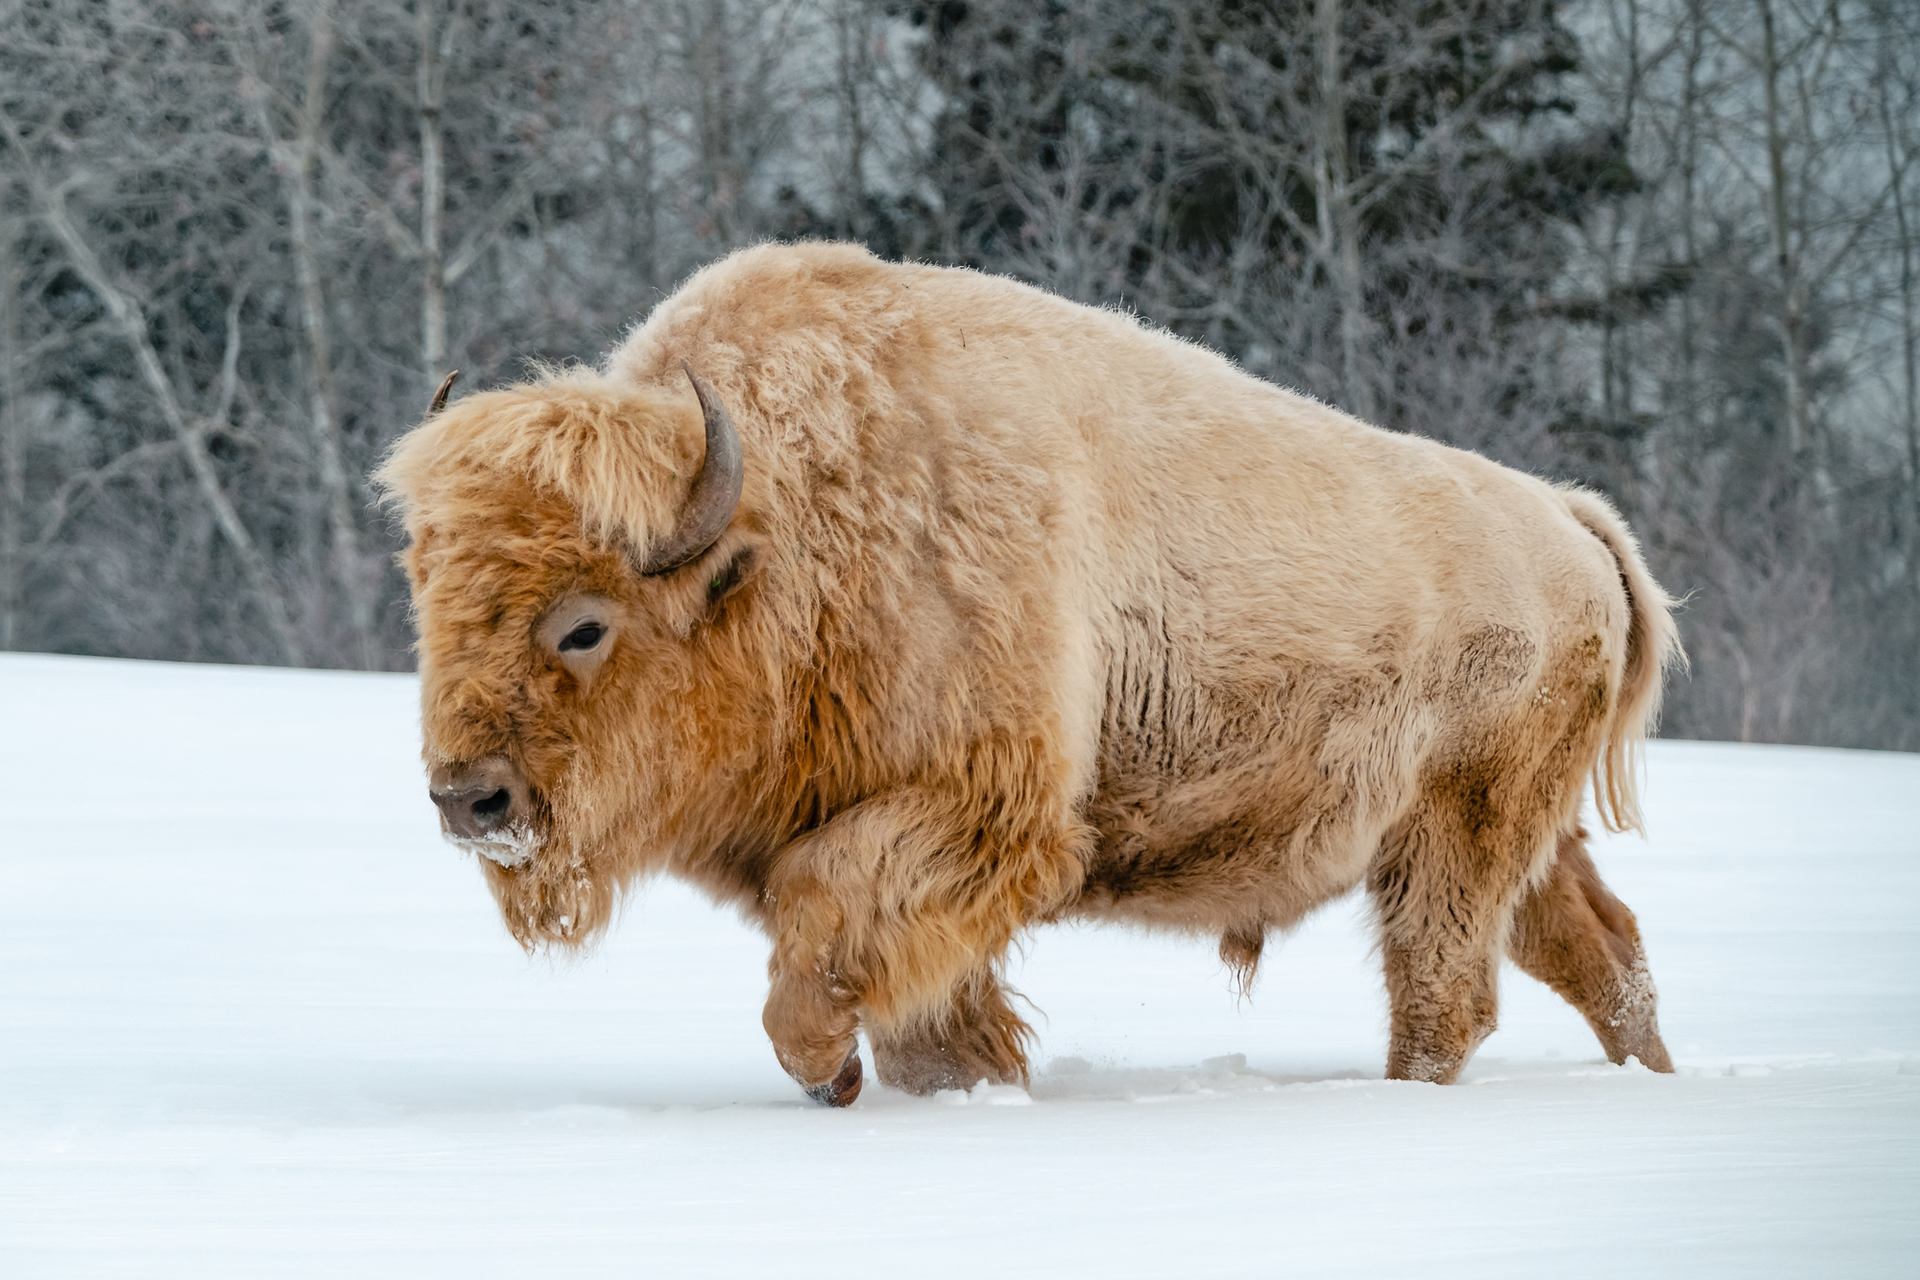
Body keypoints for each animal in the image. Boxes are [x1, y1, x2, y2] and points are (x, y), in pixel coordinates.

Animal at [374, 245, 1681, 1105]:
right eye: (426, 598)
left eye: (584, 626)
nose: (470, 798)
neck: (790, 533)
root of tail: (1568, 523)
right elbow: (911, 996)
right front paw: (946, 1084)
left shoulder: (978, 814)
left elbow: (821, 934)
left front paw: (830, 1071)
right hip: (1517, 840)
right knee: (1600, 950)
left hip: (1455, 835)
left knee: (1446, 987)